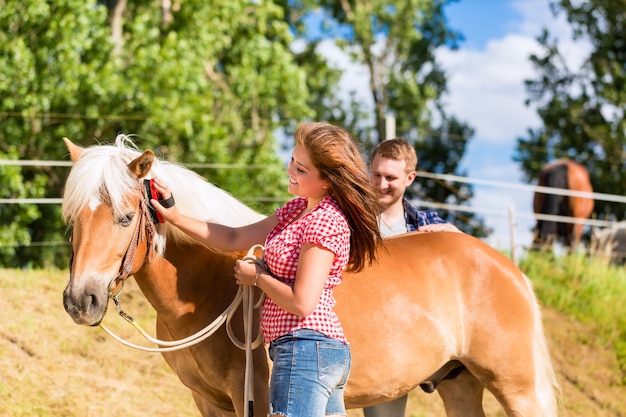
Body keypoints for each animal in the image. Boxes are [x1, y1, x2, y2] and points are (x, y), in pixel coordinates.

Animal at [62, 135, 556, 414]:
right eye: (73, 219)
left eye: (126, 217)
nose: (80, 301)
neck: (206, 287)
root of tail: (507, 268)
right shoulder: (208, 401)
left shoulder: (254, 398)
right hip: (461, 384)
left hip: (518, 391)